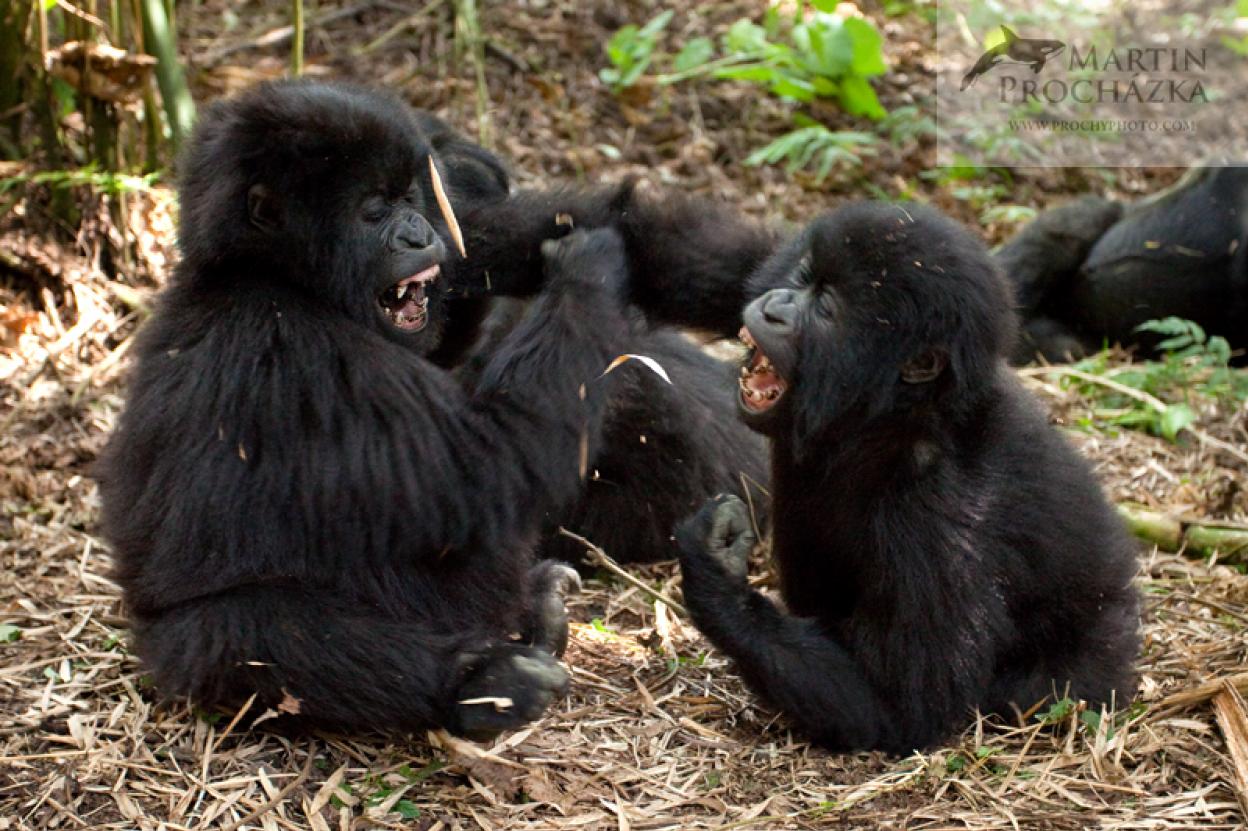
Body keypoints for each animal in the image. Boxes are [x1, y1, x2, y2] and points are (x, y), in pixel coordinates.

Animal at [94, 81, 758, 733]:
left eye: (410, 198)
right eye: (374, 210)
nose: (418, 235)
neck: (269, 276)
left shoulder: (455, 239)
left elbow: (513, 236)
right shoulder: (291, 344)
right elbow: (488, 470)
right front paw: (587, 269)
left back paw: (535, 612)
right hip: (176, 638)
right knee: (239, 634)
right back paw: (485, 683)